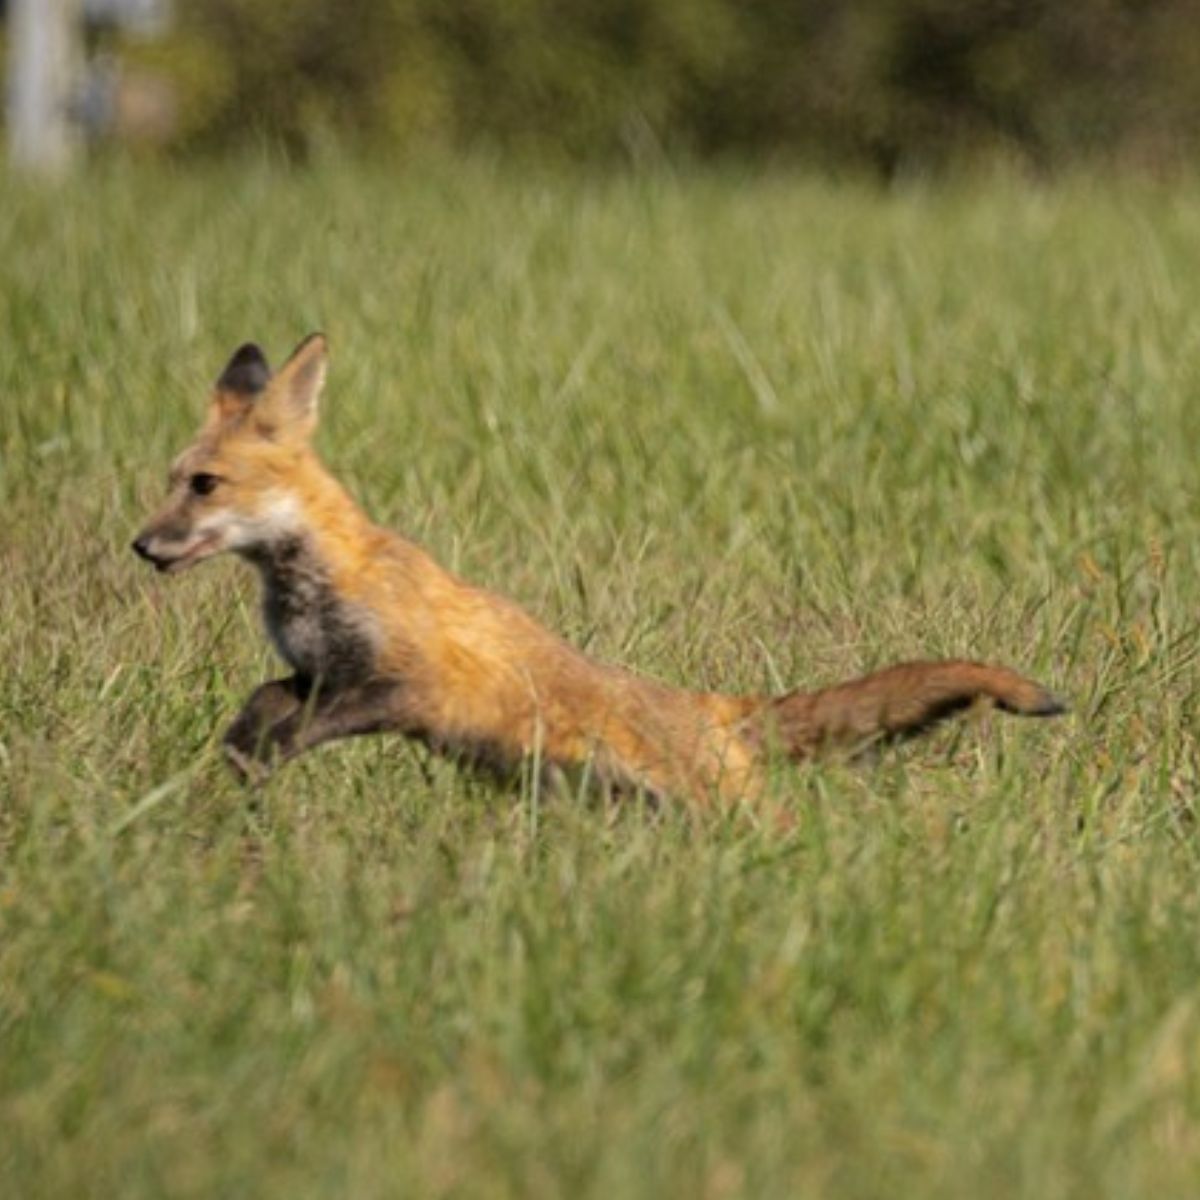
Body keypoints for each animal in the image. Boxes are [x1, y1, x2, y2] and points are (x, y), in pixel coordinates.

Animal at [132, 334, 1065, 806]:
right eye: (172, 479)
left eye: (203, 485)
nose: (143, 545)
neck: (313, 581)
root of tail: (720, 710)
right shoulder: (317, 670)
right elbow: (265, 704)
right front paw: (241, 760)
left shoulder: (407, 684)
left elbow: (312, 725)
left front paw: (261, 763)